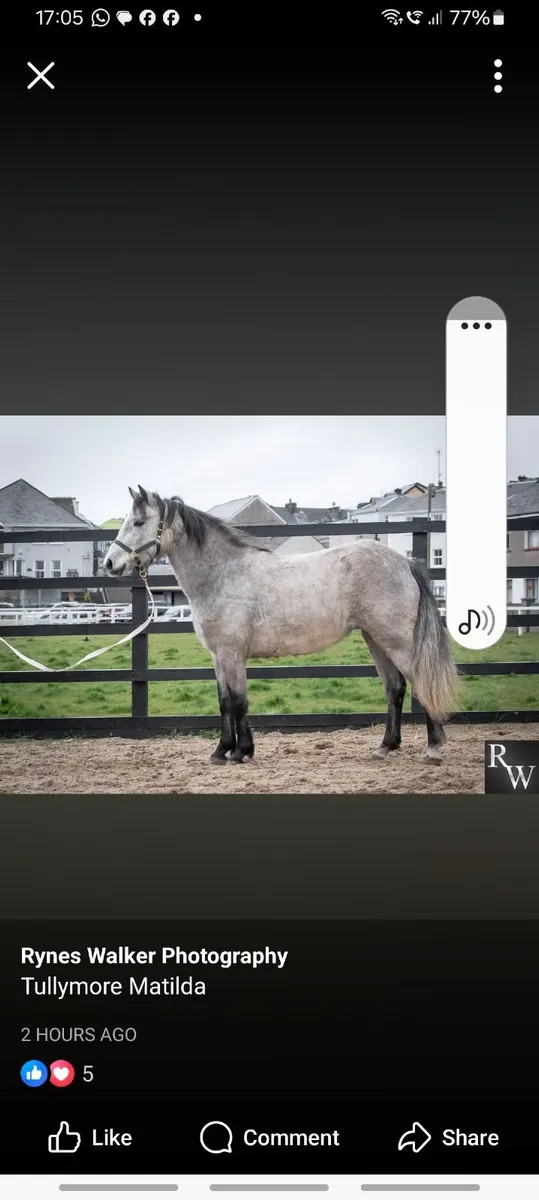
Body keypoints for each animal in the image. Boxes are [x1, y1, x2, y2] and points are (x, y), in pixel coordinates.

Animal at [104, 486, 459, 765]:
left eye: (139, 522)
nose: (109, 563)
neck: (224, 573)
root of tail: (405, 562)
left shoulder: (232, 654)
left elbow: (238, 702)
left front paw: (241, 752)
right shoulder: (219, 656)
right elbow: (224, 702)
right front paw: (222, 751)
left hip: (397, 641)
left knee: (421, 684)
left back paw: (433, 748)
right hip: (376, 640)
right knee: (395, 688)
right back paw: (386, 747)